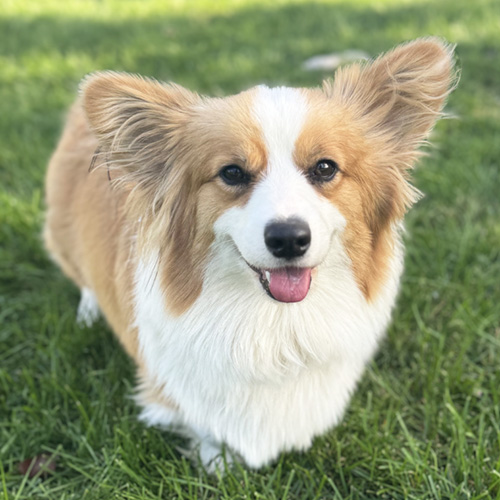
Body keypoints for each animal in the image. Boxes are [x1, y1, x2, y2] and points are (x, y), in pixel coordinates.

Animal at [45, 38, 456, 468]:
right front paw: (218, 461)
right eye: (232, 173)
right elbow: (203, 424)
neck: (277, 325)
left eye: (325, 168)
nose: (289, 238)